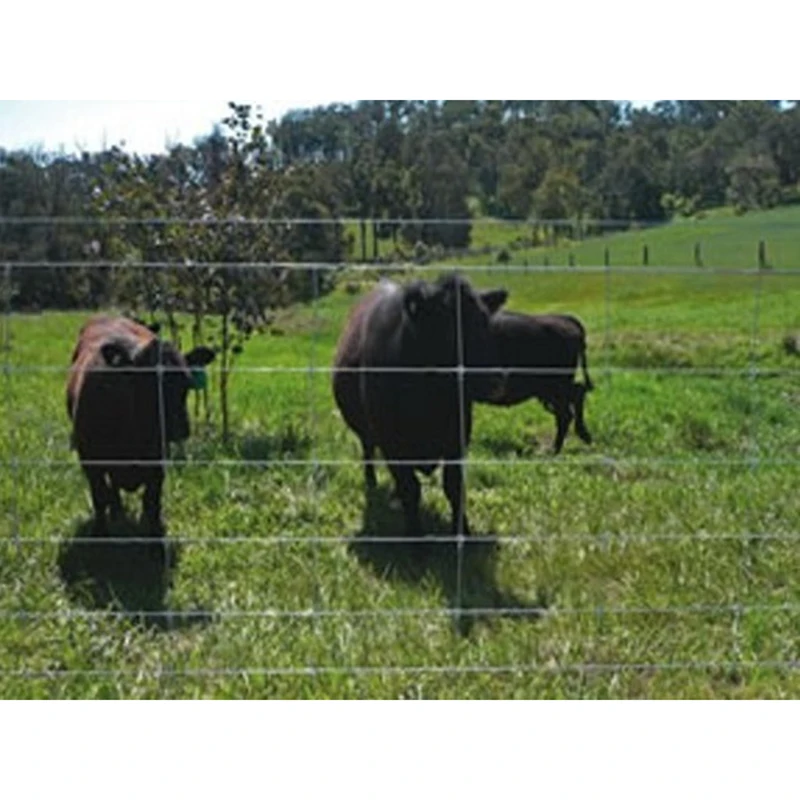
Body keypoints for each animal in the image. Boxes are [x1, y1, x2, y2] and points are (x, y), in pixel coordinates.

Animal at [66, 316, 215, 539]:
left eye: (186, 383)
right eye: (145, 381)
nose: (180, 427)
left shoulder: (158, 462)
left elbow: (152, 501)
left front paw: (155, 534)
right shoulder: (90, 461)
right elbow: (100, 497)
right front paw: (100, 532)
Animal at [332, 273, 508, 538]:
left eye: (485, 323)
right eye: (447, 328)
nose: (496, 381)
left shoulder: (457, 438)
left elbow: (454, 487)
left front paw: (463, 531)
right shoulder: (392, 444)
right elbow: (410, 489)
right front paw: (416, 536)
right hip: (366, 432)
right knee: (368, 451)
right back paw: (372, 481)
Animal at [475, 311, 594, 454]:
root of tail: (565, 318)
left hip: (554, 388)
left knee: (567, 411)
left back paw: (555, 449)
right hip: (552, 390)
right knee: (576, 396)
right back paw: (581, 437)